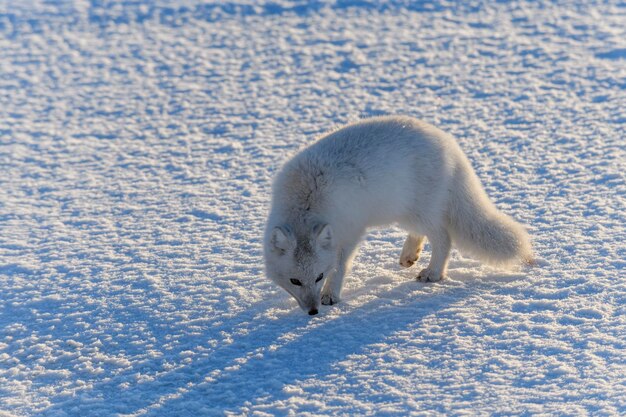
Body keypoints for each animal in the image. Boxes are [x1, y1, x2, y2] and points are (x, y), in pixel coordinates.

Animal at [260, 115, 528, 314]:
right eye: (295, 281)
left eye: (319, 276)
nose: (313, 312)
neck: (305, 203)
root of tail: (450, 145)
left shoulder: (350, 231)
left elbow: (340, 265)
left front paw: (330, 295)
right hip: (406, 212)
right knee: (422, 234)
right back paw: (409, 256)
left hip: (417, 211)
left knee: (443, 237)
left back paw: (433, 274)